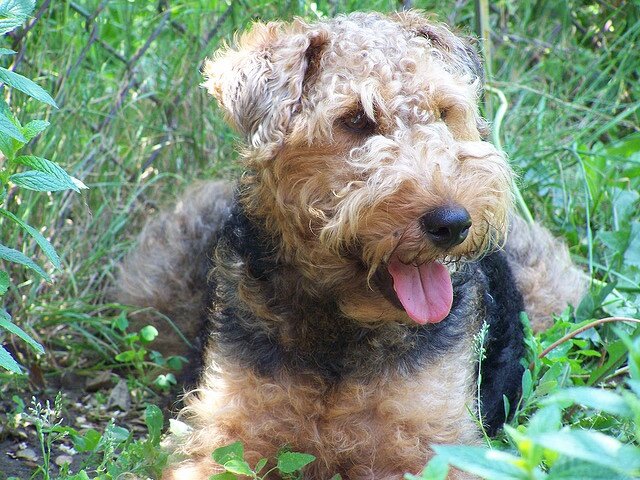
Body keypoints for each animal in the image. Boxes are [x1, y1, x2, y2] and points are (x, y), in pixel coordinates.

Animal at [117, 10, 586, 479]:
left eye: (443, 111)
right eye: (356, 119)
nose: (453, 223)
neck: (338, 330)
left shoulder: (431, 444)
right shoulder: (224, 436)